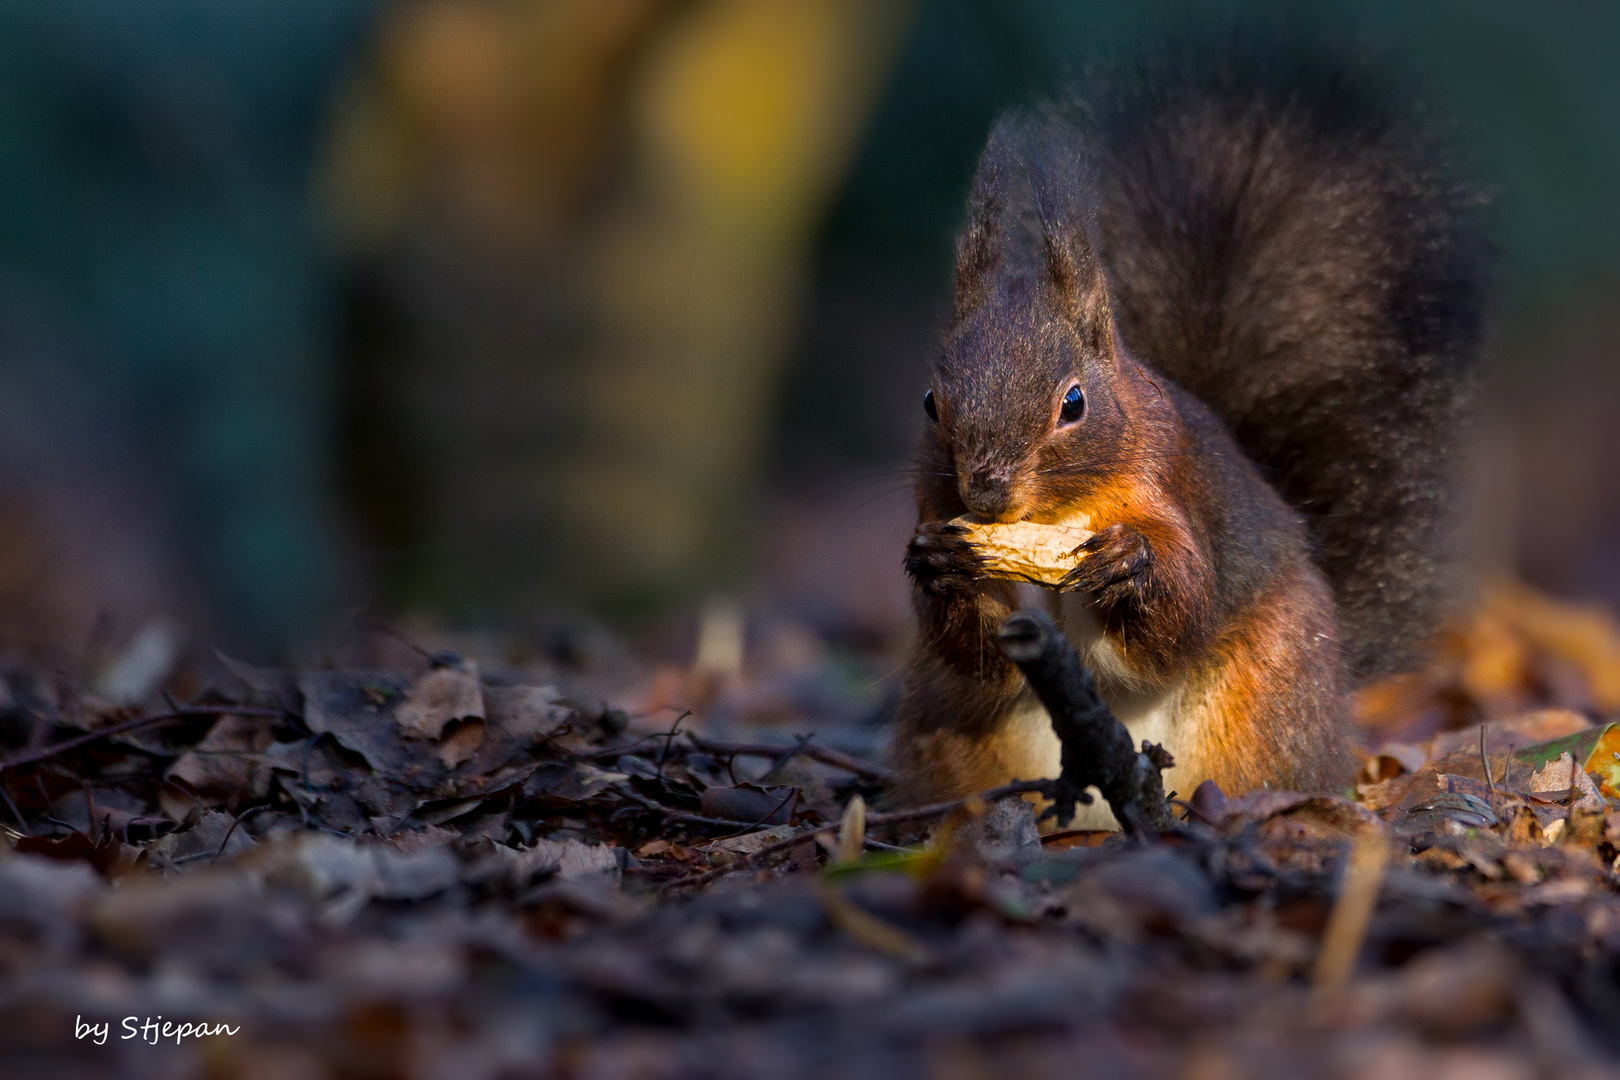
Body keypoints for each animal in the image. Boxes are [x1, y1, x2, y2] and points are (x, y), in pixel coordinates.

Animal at [894, 44, 1483, 819]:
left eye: (1073, 403)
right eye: (932, 403)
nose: (987, 493)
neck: (1055, 514)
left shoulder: (1168, 482)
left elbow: (1180, 616)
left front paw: (1132, 562)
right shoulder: (935, 502)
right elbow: (979, 654)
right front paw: (941, 566)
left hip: (1267, 692)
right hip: (955, 733)